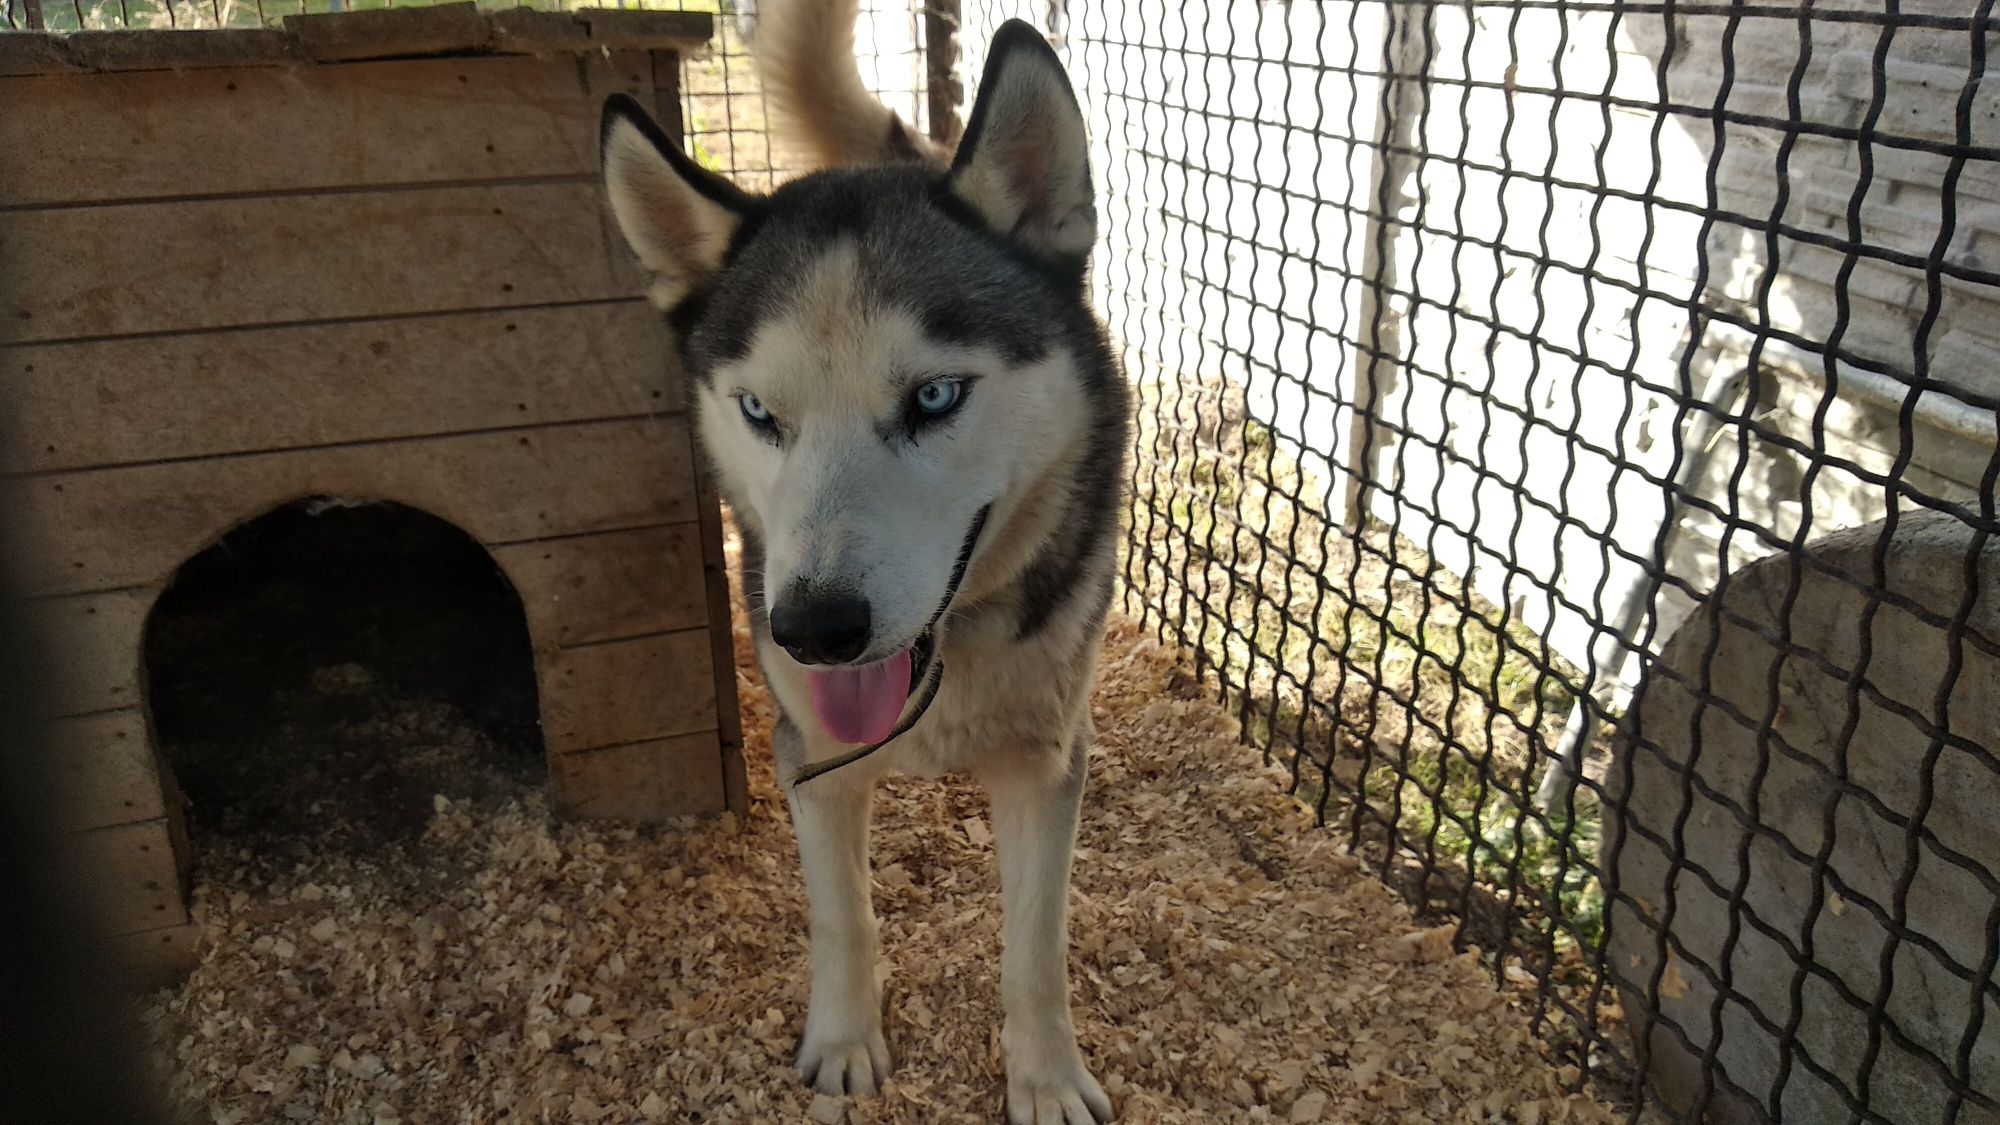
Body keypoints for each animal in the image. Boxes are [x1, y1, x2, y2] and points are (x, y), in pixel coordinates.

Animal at [592, 6, 1128, 1112]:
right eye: (760, 411)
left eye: (933, 397)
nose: (814, 629)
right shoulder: (812, 760)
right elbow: (843, 916)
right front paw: (843, 1041)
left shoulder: (1046, 761)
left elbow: (1036, 948)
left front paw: (1046, 1076)